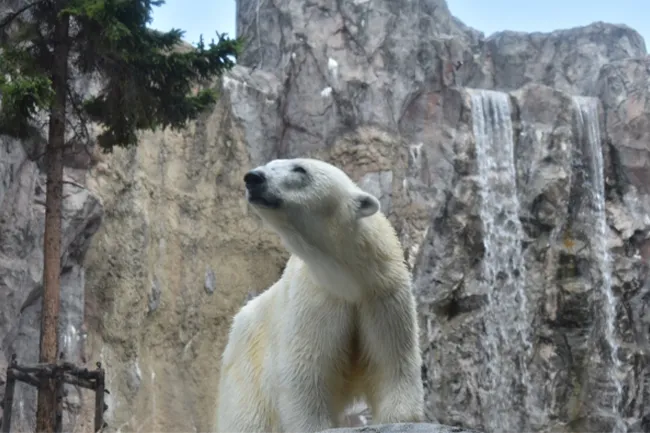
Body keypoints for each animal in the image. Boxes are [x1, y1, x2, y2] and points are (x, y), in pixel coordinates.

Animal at [215, 158, 422, 432]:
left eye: (299, 169)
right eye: (270, 164)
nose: (253, 178)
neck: (347, 278)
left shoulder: (382, 294)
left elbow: (392, 361)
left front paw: (398, 419)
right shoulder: (315, 301)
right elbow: (305, 373)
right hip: (246, 365)